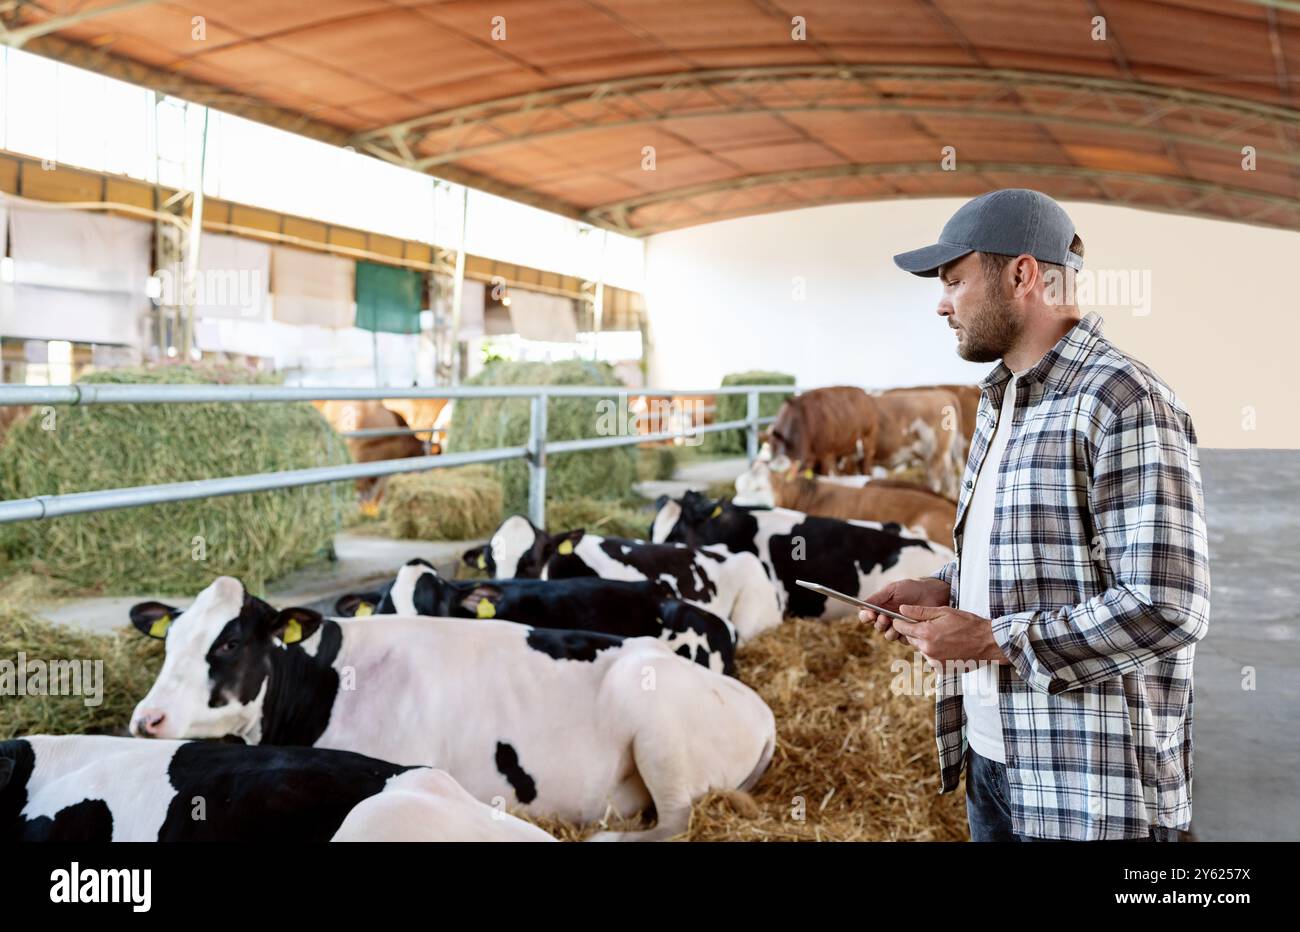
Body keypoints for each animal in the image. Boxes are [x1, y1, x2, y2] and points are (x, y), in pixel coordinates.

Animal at [124, 577, 769, 842]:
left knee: (674, 822)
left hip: (658, 735)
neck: (326, 685)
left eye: (229, 643)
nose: (145, 720)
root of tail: (758, 708)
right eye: (169, 637)